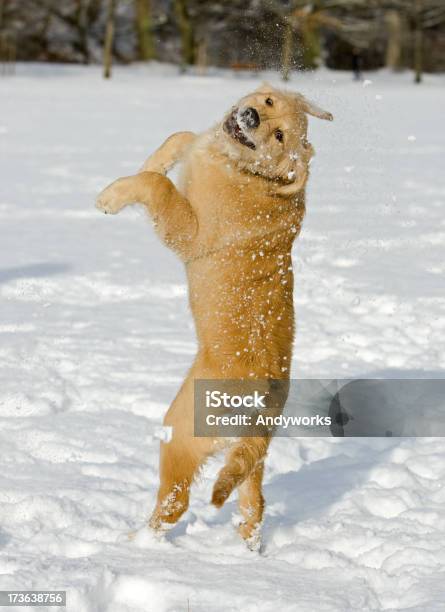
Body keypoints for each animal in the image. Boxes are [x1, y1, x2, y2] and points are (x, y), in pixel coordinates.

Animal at [95, 82, 332, 548]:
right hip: (249, 459)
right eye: (270, 103)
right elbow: (181, 137)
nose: (252, 118)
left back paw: (133, 543)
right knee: (253, 504)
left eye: (280, 137)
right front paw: (156, 159)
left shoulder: (190, 233)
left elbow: (157, 186)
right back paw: (249, 549)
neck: (247, 171)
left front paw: (112, 196)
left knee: (175, 503)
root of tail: (263, 407)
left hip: (180, 432)